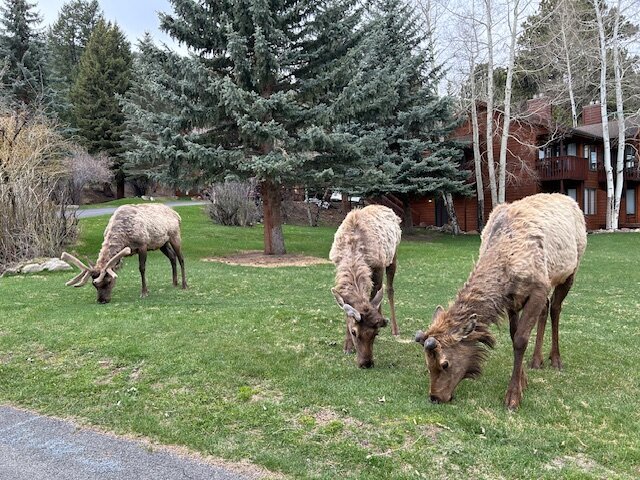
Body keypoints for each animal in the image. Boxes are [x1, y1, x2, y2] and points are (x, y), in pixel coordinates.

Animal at [416, 193, 584, 410]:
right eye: (427, 363)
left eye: (445, 363)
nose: (435, 397)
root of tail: (571, 201)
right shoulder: (512, 299)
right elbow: (514, 335)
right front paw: (523, 381)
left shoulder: (538, 287)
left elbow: (521, 339)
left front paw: (513, 396)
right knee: (546, 308)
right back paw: (536, 360)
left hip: (570, 271)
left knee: (555, 307)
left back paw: (555, 359)